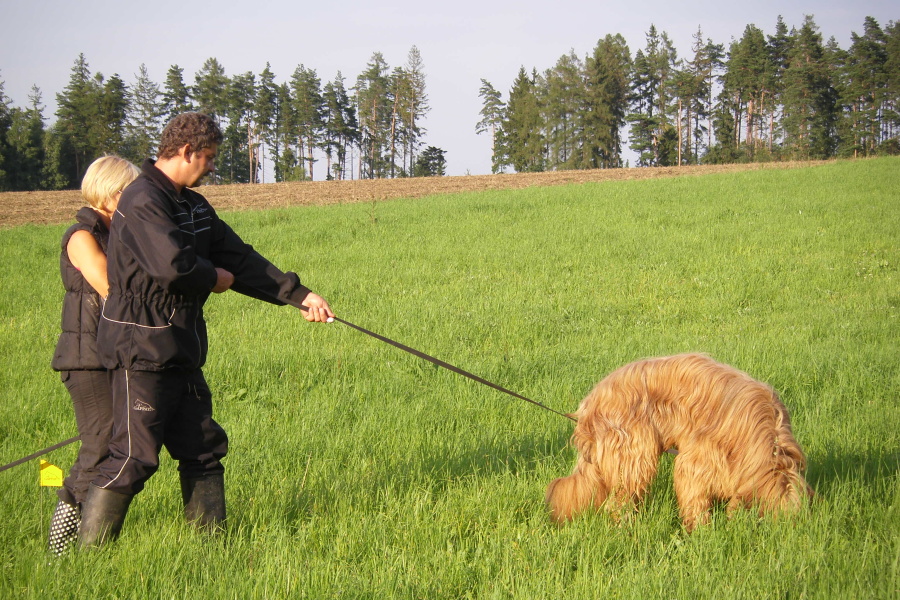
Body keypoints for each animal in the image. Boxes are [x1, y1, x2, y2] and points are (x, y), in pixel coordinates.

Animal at [544, 352, 812, 528]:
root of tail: (590, 404)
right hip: (633, 451)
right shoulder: (697, 460)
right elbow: (694, 495)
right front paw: (701, 531)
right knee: (620, 499)